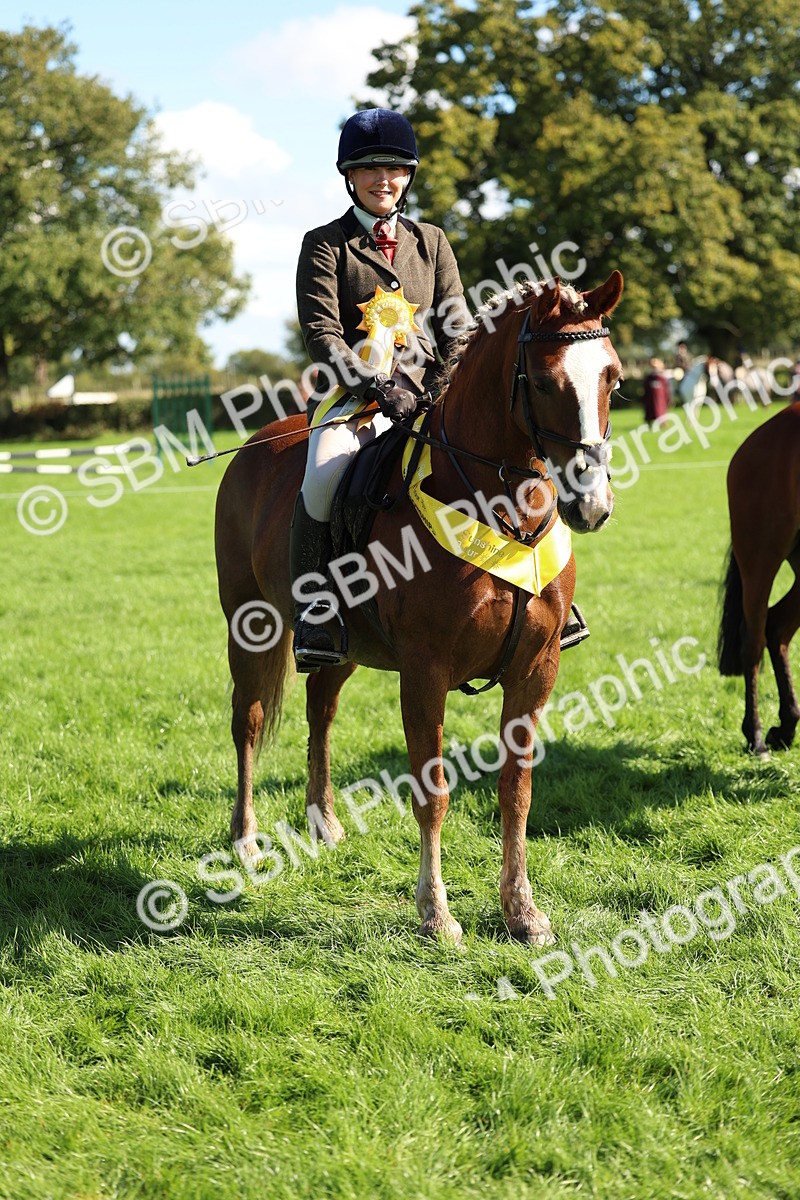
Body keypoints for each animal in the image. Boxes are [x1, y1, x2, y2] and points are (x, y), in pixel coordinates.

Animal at [214, 271, 624, 945]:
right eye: (543, 382)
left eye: (612, 377)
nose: (590, 505)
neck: (499, 509)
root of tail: (259, 441)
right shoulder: (425, 671)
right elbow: (432, 791)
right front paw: (436, 914)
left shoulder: (536, 669)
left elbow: (517, 791)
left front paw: (523, 913)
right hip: (250, 628)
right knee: (247, 722)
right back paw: (246, 841)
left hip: (345, 647)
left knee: (321, 711)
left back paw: (324, 822)